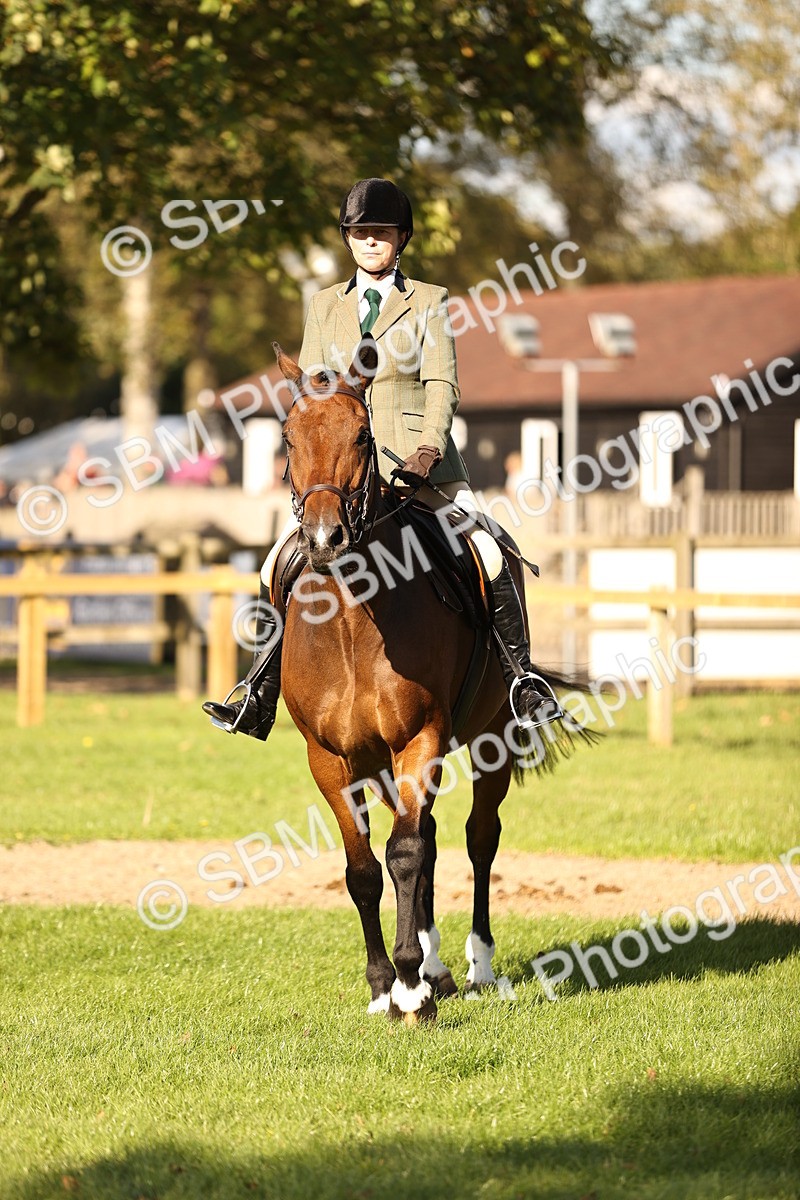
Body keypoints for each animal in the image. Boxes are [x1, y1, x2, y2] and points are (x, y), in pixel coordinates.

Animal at [273, 339, 589, 1024]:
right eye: (287, 436)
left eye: (363, 435)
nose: (324, 538)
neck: (352, 619)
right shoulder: (331, 758)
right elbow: (365, 868)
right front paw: (381, 986)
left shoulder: (419, 739)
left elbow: (405, 854)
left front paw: (410, 985)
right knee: (431, 838)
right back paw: (436, 967)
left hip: (493, 735)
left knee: (477, 838)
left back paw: (473, 965)